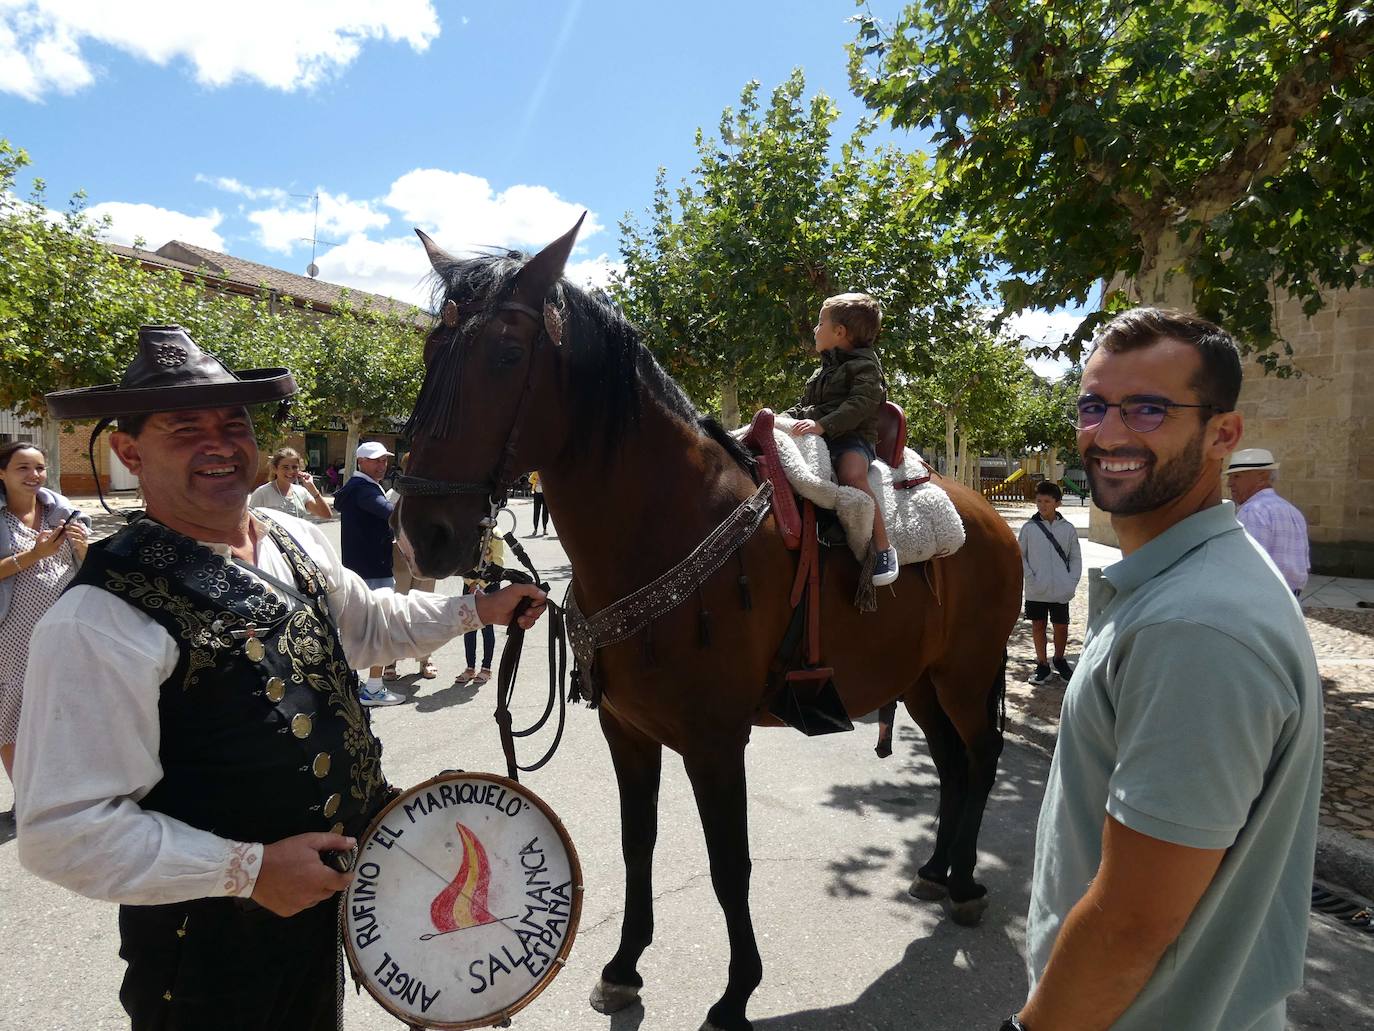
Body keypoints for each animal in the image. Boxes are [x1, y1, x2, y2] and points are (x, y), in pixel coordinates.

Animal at [395, 219, 1022, 1031]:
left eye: (504, 355)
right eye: (430, 353)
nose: (424, 534)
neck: (668, 525)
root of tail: (989, 516)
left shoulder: (716, 741)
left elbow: (730, 864)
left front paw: (735, 993)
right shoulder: (628, 732)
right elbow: (638, 843)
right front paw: (624, 965)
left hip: (967, 673)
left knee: (981, 756)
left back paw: (968, 882)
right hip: (918, 679)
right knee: (949, 762)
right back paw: (939, 869)